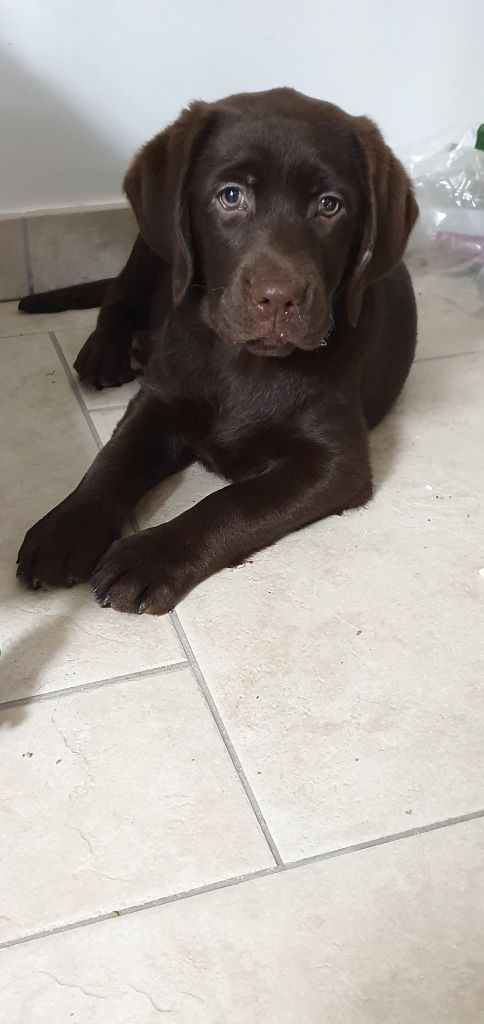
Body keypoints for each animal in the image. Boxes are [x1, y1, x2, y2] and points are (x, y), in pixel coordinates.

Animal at [16, 87, 418, 615]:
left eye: (330, 206)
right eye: (231, 196)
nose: (279, 298)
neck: (241, 360)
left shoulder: (335, 463)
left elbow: (231, 504)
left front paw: (148, 556)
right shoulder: (158, 401)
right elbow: (110, 463)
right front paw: (65, 530)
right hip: (153, 248)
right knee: (118, 298)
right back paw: (107, 352)